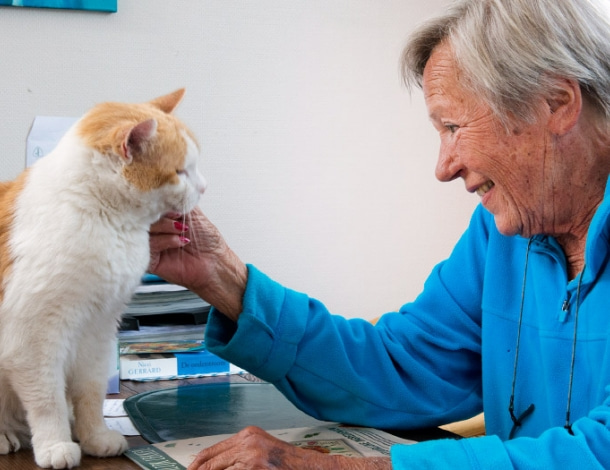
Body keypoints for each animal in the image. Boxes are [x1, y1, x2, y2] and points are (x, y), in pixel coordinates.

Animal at [0, 88, 205, 466]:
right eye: (180, 171)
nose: (204, 187)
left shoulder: (97, 329)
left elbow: (90, 393)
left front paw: (94, 437)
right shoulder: (34, 337)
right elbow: (47, 399)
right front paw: (55, 444)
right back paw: (4, 434)